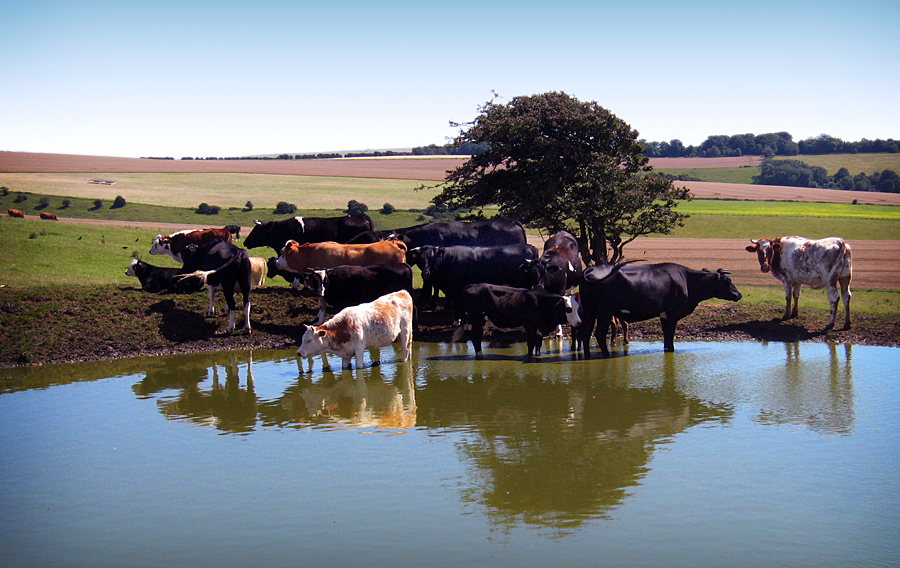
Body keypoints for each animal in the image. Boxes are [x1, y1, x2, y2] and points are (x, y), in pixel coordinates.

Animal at [406, 243, 536, 318]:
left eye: (433, 258)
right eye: (421, 258)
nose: (425, 273)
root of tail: (529, 246)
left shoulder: (457, 288)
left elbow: (458, 304)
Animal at [450, 282, 584, 360]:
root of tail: (471, 285)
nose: (579, 322)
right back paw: (480, 356)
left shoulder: (539, 330)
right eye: (568, 309)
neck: (542, 303)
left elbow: (538, 347)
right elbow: (530, 346)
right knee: (476, 339)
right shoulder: (530, 327)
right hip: (476, 319)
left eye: (578, 308)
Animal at [580, 260, 740, 358]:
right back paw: (606, 355)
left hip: (589, 312)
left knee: (586, 333)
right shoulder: (673, 313)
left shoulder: (664, 315)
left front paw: (667, 349)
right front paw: (672, 350)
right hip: (604, 313)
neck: (686, 280)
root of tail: (592, 268)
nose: (739, 294)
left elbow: (666, 335)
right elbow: (670, 334)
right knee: (599, 334)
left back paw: (587, 355)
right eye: (728, 281)